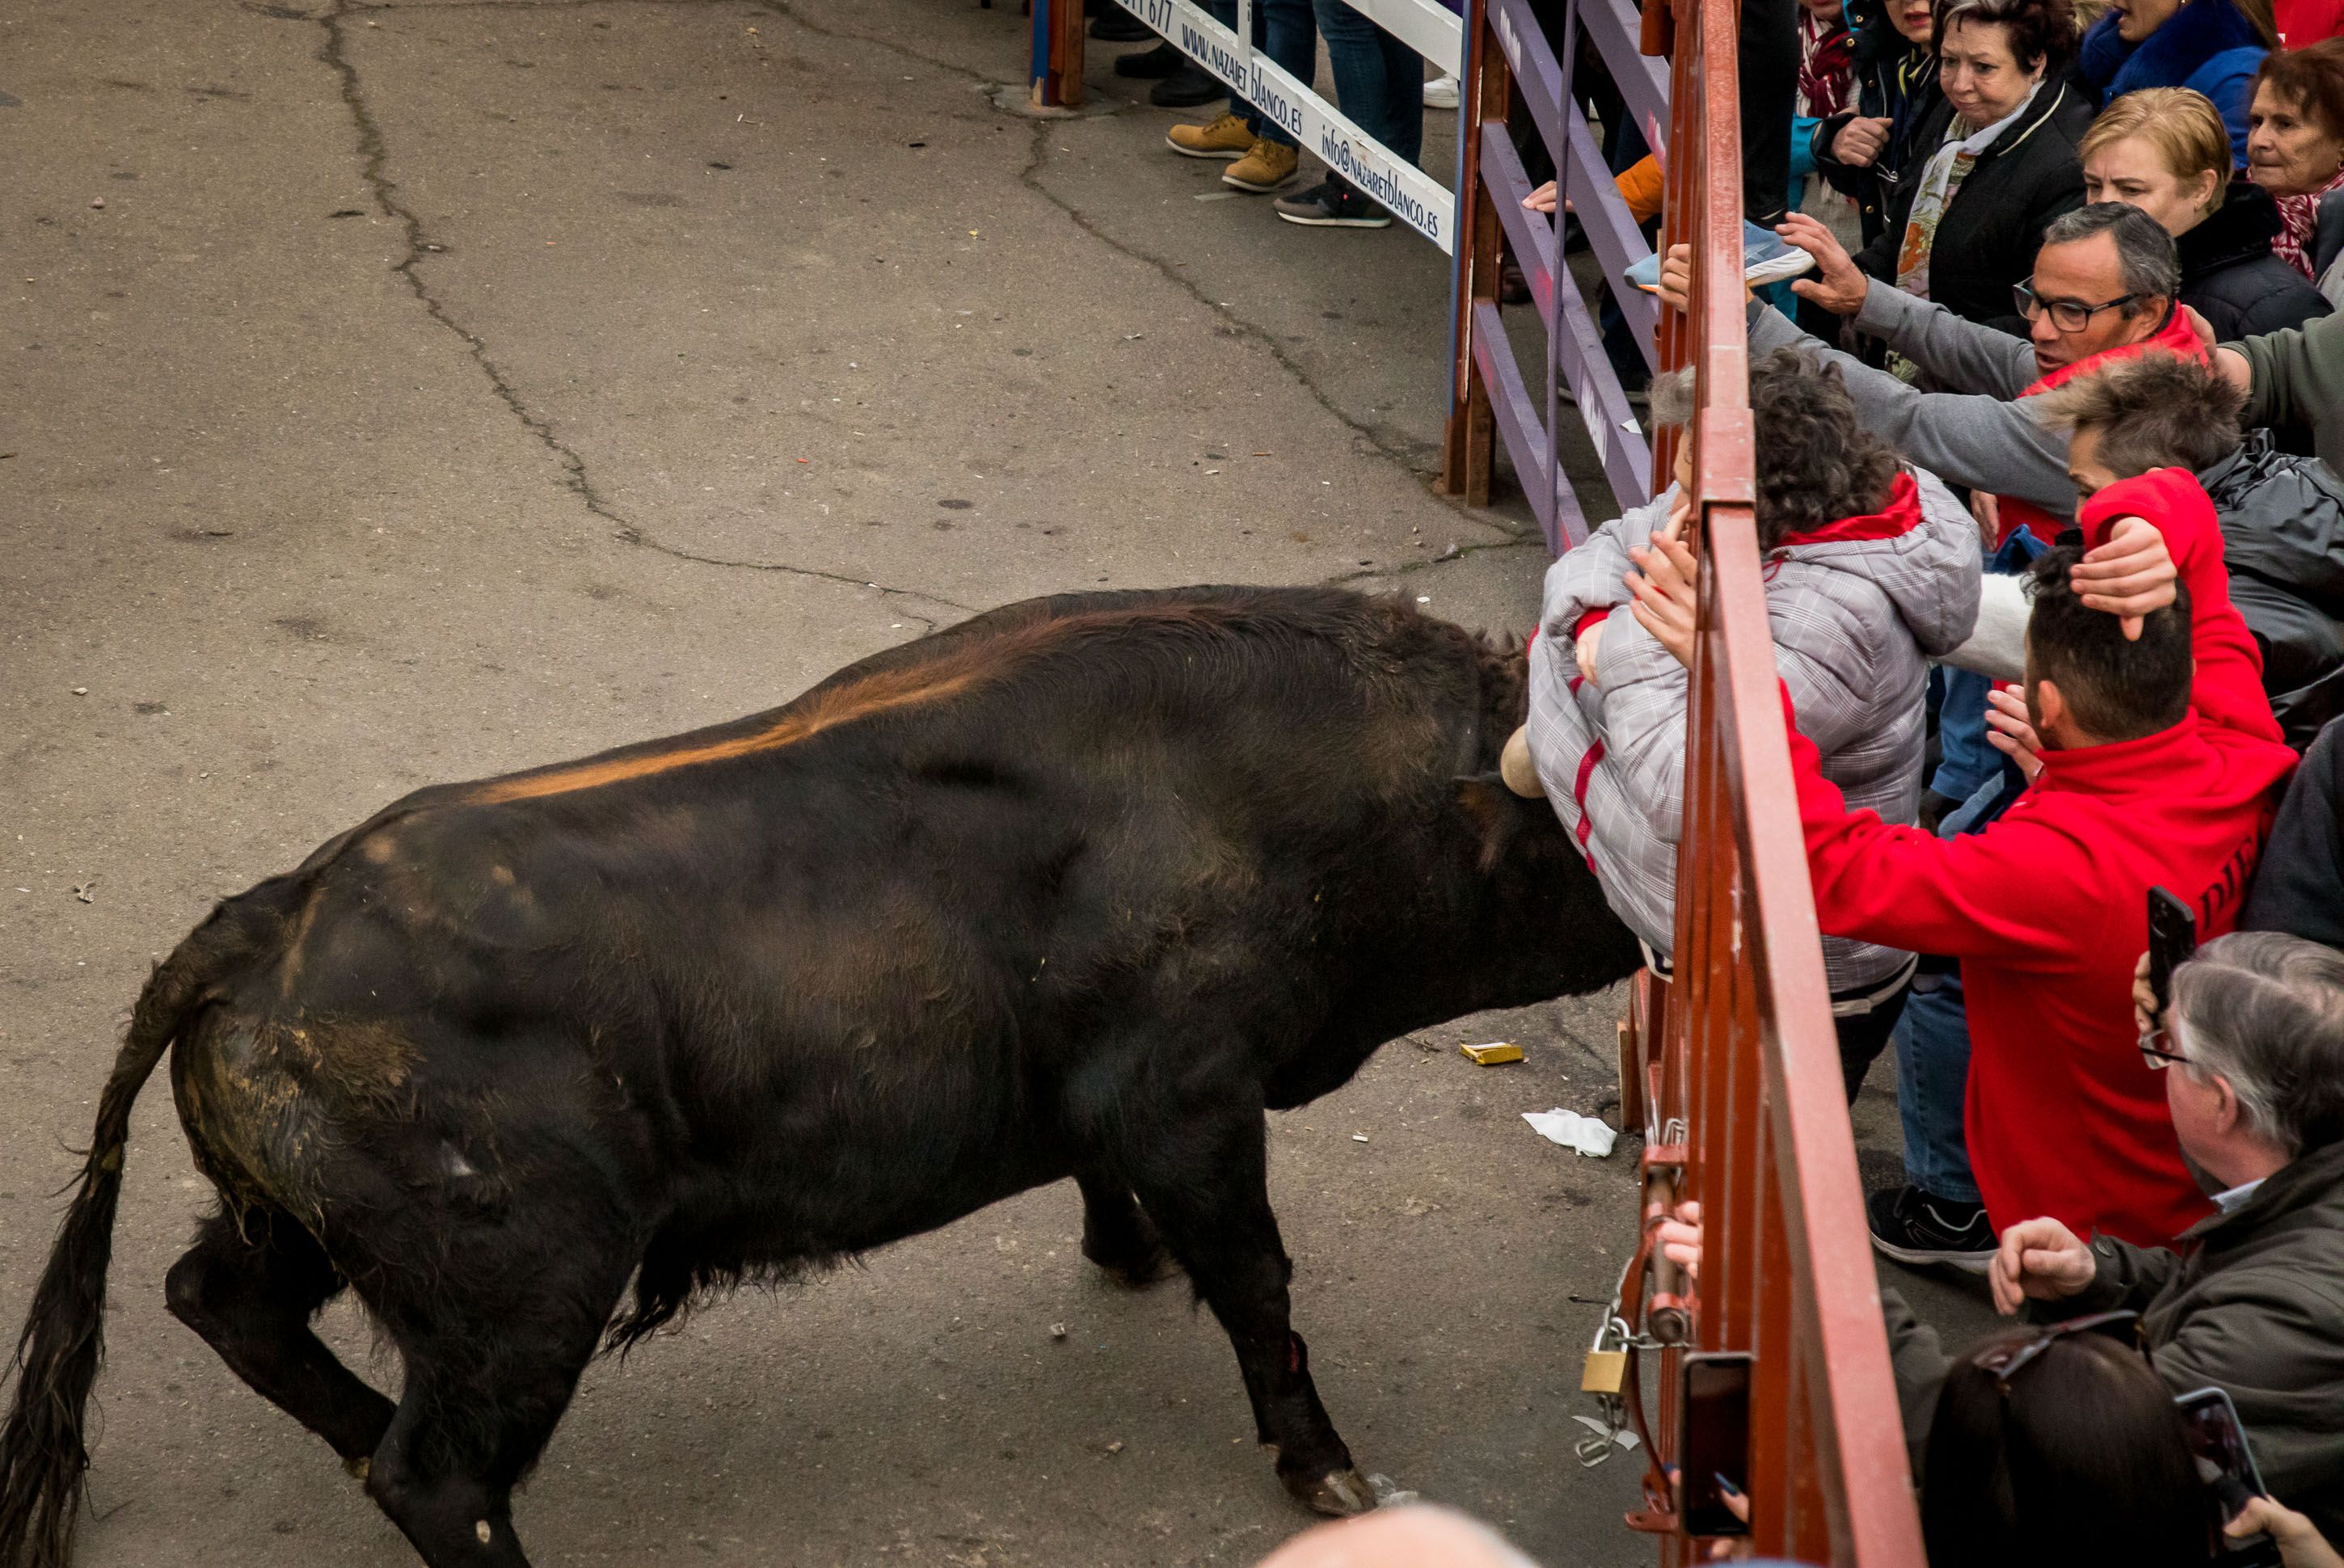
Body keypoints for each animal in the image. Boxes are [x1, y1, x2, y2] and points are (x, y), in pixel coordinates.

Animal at [0, 581, 1641, 1556]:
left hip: (314, 1230)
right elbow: (1260, 1286)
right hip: (525, 1289)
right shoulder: (1192, 1101)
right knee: (440, 1477)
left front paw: (1123, 1258)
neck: (1300, 793)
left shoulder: (1121, 1103)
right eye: (1579, 818)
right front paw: (1320, 1461)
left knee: (224, 1305)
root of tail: (268, 918)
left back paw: (344, 1433)